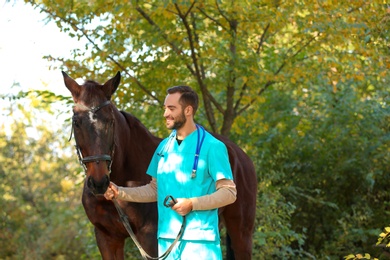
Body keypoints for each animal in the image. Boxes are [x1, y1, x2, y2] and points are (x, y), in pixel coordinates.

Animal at [62, 71, 258, 260]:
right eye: (76, 122)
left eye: (110, 121)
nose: (99, 182)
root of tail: (241, 155)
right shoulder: (107, 238)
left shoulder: (150, 239)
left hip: (241, 232)